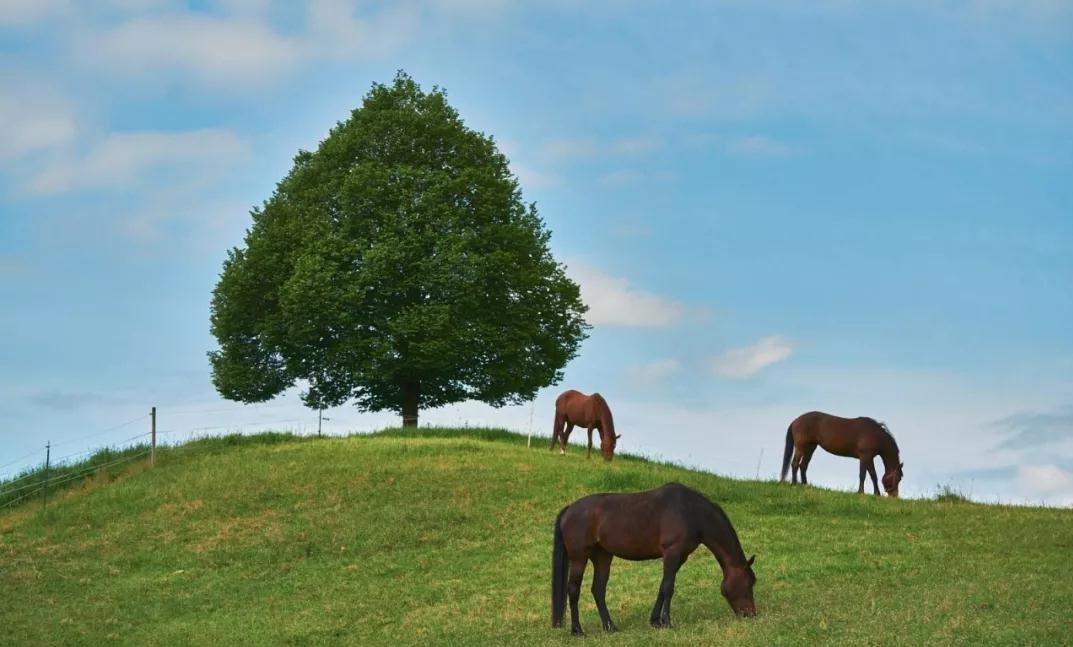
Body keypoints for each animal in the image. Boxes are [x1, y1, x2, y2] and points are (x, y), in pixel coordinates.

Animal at [553, 482, 755, 635]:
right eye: (749, 582)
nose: (751, 614)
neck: (691, 512)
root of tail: (568, 510)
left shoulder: (680, 556)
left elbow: (663, 586)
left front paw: (656, 621)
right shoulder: (672, 553)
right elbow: (668, 587)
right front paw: (666, 621)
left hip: (602, 556)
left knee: (598, 589)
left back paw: (610, 627)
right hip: (579, 557)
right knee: (573, 590)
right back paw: (577, 630)